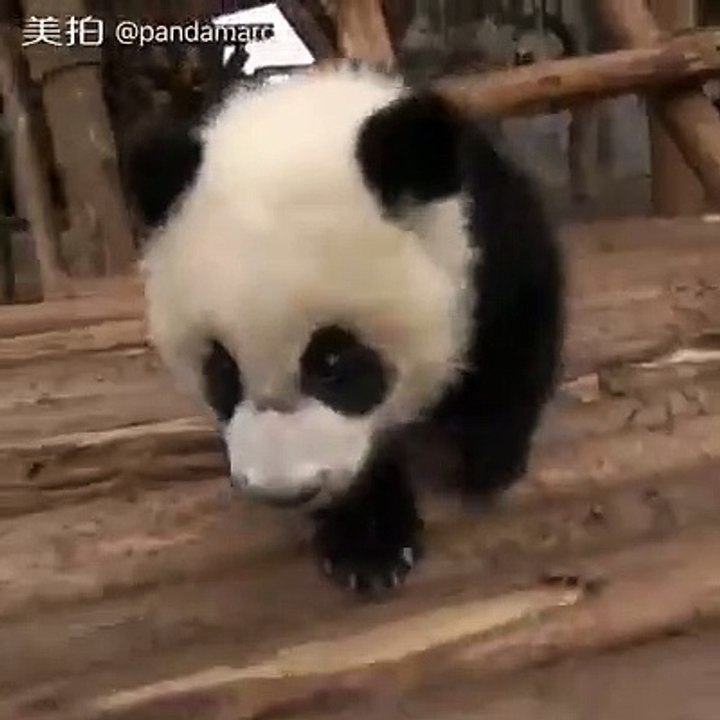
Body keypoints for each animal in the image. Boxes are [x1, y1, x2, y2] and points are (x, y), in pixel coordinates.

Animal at [126, 64, 565, 596]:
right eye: (222, 368)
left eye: (333, 362)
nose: (284, 492)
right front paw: (367, 543)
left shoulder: (483, 234)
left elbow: (517, 325)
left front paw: (487, 457)